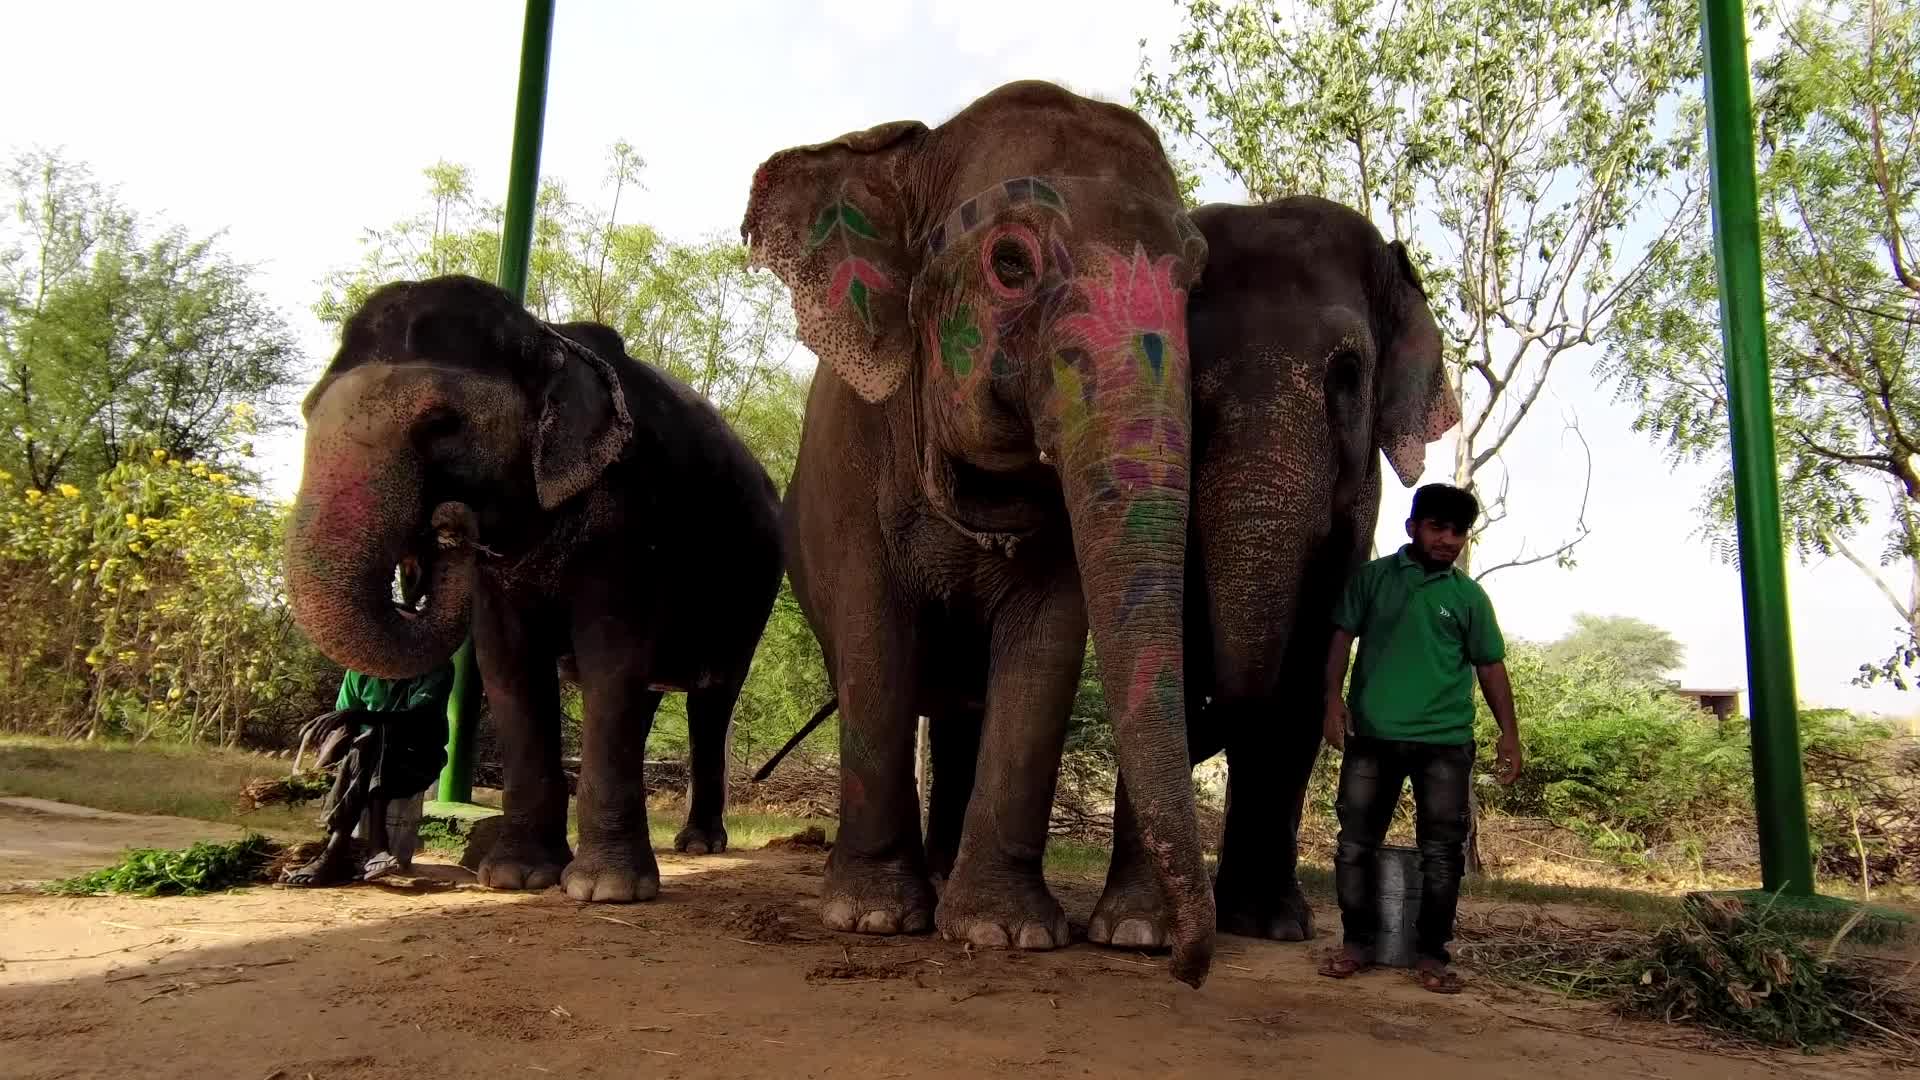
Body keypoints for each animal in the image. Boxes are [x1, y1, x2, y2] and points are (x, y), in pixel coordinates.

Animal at [285, 275, 784, 903]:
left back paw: (699, 844)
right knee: (646, 696)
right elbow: (509, 666)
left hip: (753, 589)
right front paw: (516, 879)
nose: (448, 524)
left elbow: (610, 657)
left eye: (441, 424)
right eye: (306, 411)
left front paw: (606, 892)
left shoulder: (631, 518)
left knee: (711, 700)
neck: (549, 338)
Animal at [742, 80, 1216, 986]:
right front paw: (871, 918)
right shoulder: (852, 464)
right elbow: (873, 639)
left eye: (1197, 282)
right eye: (1011, 265)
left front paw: (1003, 933)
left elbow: (1046, 646)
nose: (1186, 965)